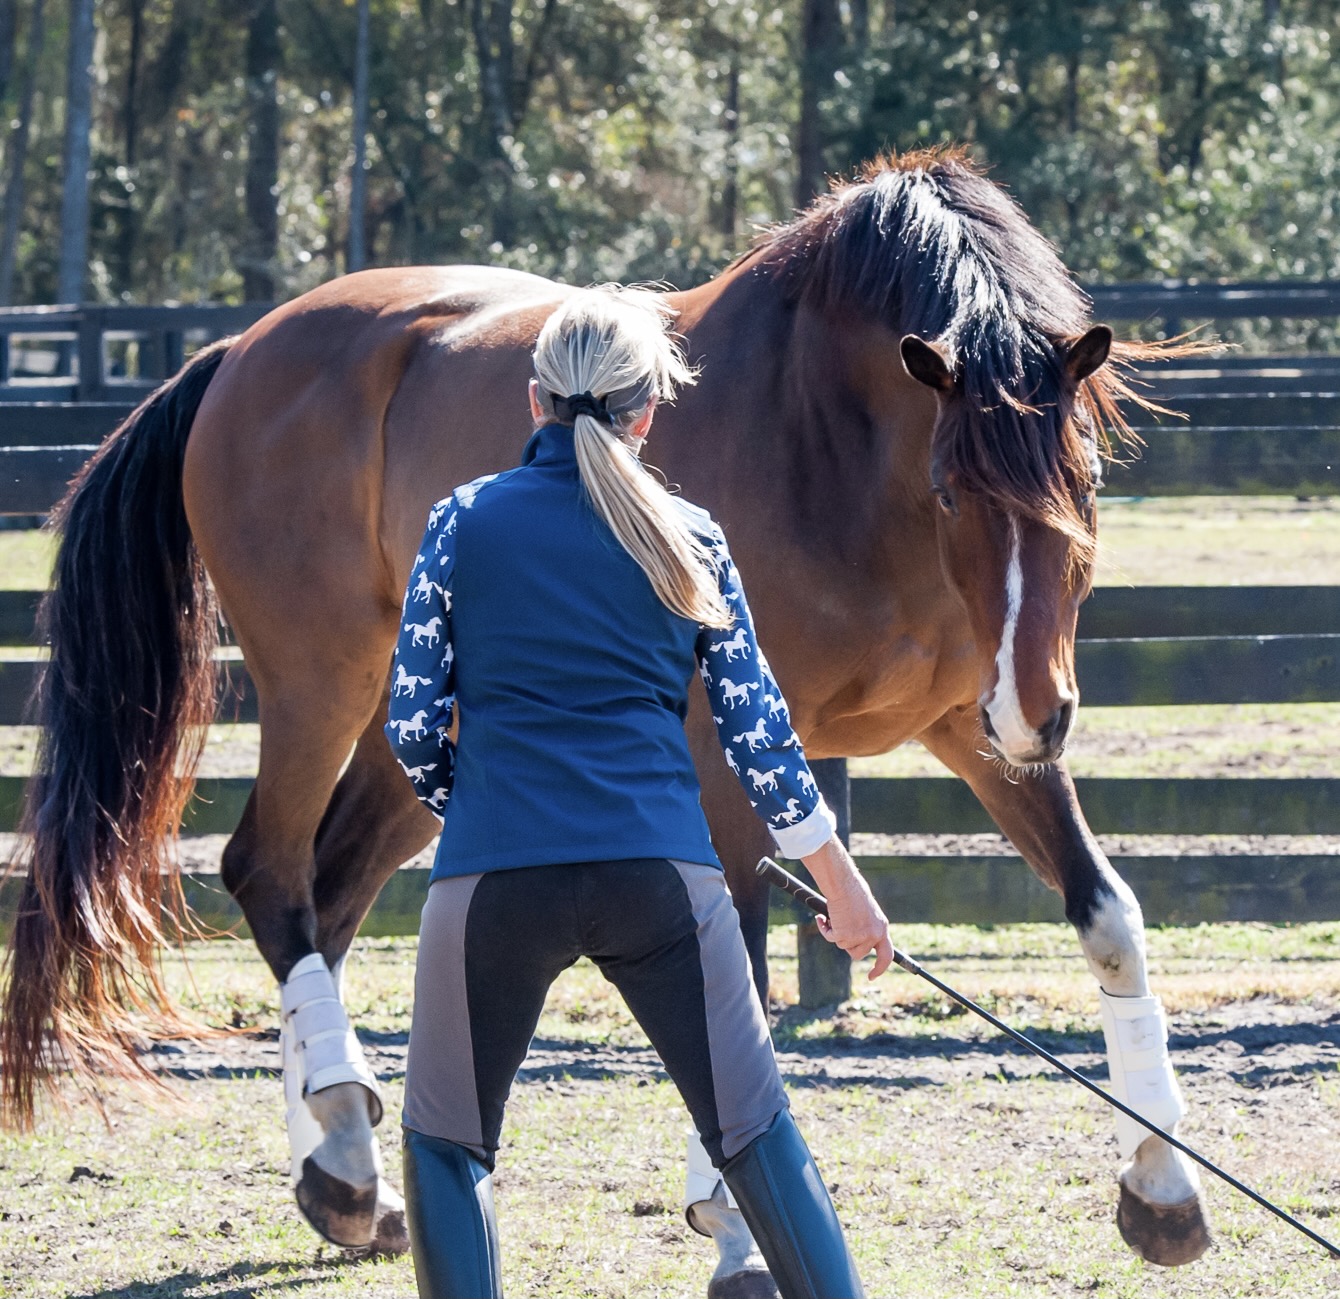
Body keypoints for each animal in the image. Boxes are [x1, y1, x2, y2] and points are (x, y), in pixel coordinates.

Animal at [0, 149, 1216, 1286]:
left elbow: (1107, 916)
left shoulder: (977, 730)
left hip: (425, 722)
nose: (1042, 714)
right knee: (267, 870)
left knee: (328, 890)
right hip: (321, 680)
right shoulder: (723, 754)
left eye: (1085, 478)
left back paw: (343, 1178)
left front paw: (1161, 1186)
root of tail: (240, 353)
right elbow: (738, 981)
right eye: (955, 487)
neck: (828, 444)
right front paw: (734, 1236)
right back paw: (342, 1143)